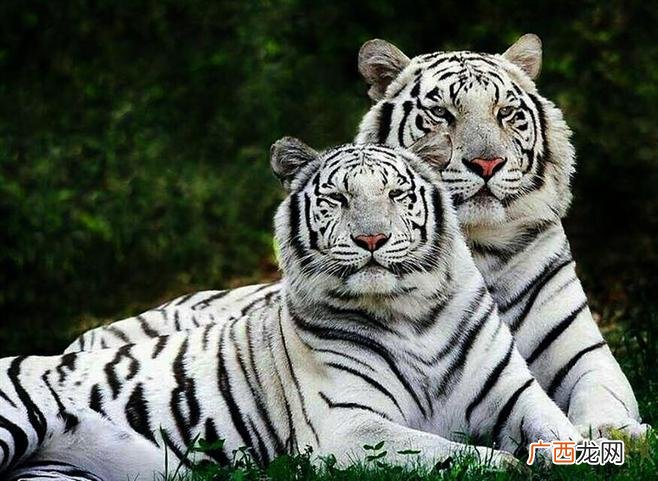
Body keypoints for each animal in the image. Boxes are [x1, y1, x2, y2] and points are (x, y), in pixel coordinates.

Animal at [0, 140, 582, 480]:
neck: (412, 313)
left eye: (397, 195)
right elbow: (452, 452)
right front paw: (513, 467)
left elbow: (562, 432)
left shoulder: (515, 394)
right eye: (338, 199)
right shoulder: (349, 428)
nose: (372, 239)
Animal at [65, 34, 647, 439]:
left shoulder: (583, 353)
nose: (487, 163)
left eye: (507, 114)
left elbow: (605, 397)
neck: (477, 247)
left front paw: (615, 434)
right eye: (441, 114)